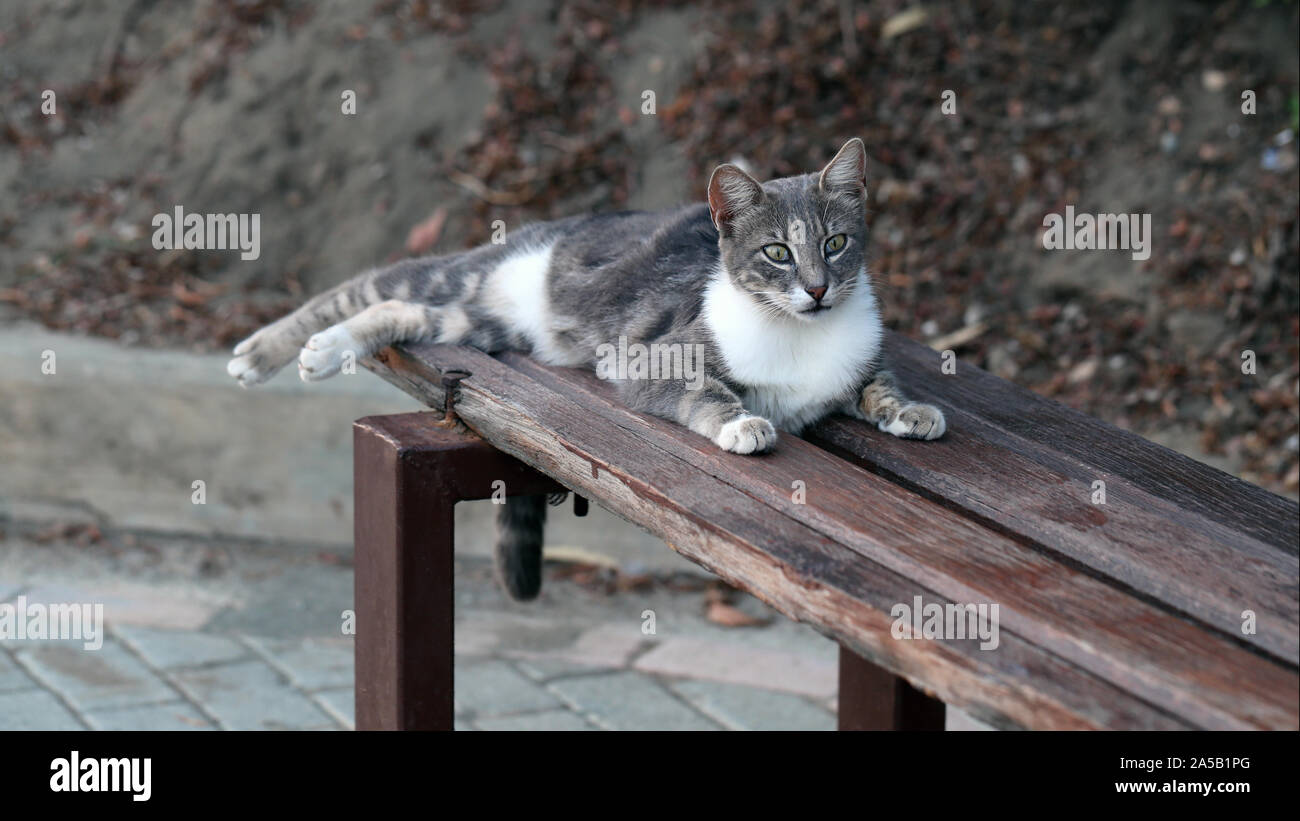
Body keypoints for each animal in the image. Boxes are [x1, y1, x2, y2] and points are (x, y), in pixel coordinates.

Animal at [228, 137, 946, 600]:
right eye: (776, 252)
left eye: (836, 242)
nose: (819, 289)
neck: (800, 333)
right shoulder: (652, 359)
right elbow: (707, 392)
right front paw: (741, 424)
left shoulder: (858, 362)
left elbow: (879, 383)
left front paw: (911, 411)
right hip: (468, 277)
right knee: (371, 286)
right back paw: (278, 351)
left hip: (482, 324)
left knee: (400, 308)